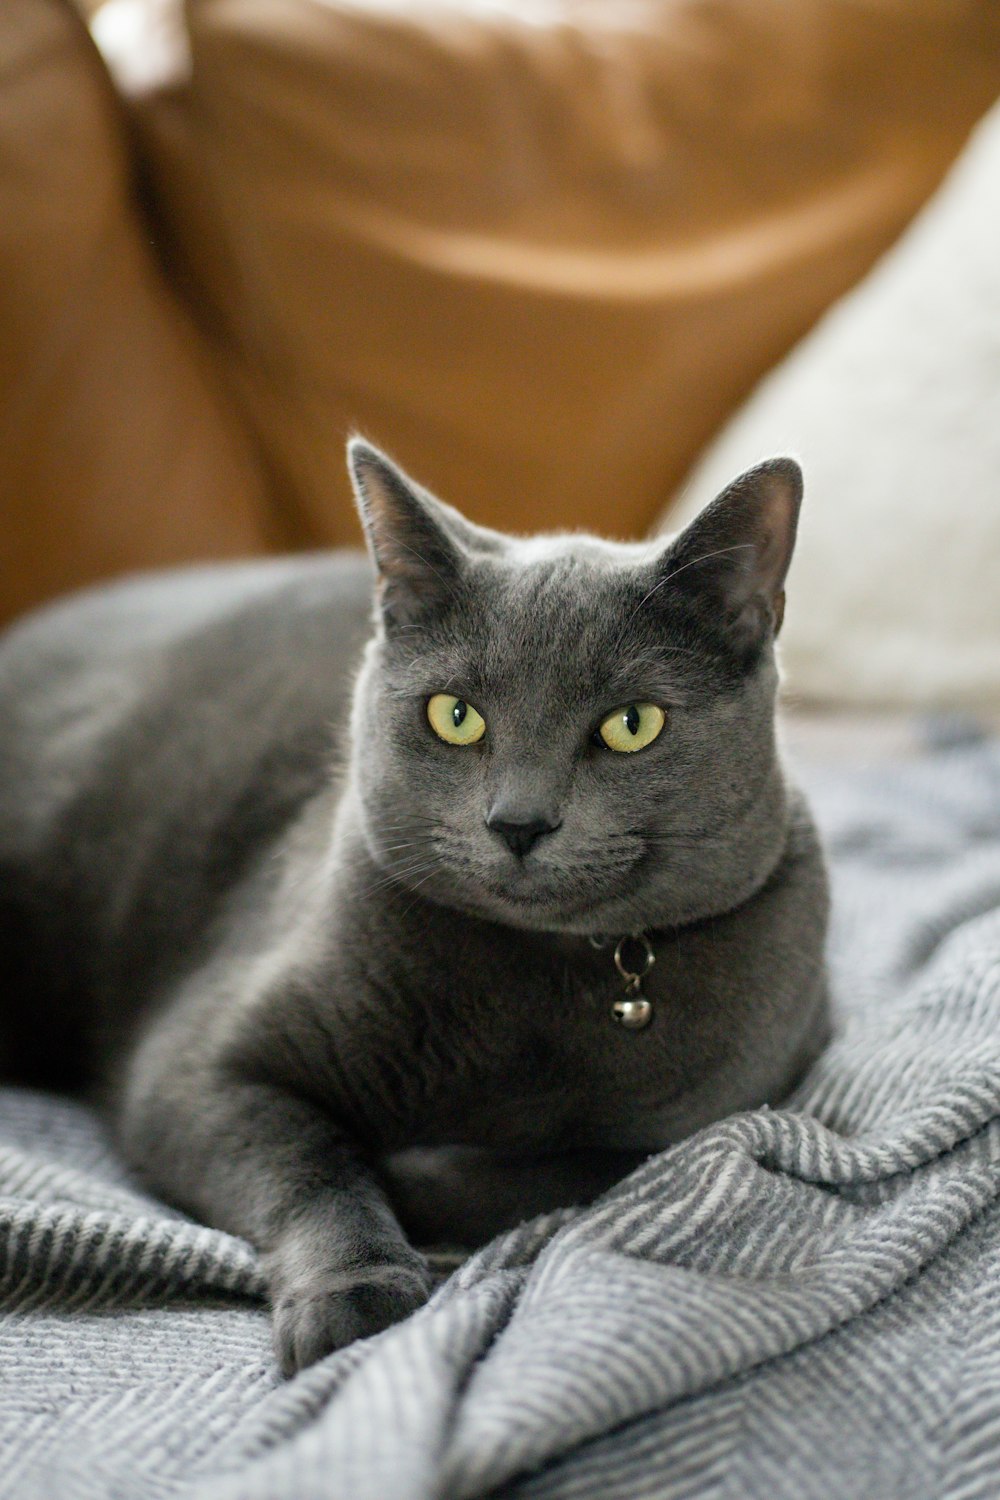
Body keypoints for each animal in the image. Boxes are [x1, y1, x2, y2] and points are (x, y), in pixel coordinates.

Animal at [0, 441, 827, 1374]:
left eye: (631, 725)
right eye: (455, 716)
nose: (519, 821)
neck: (535, 980)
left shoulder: (745, 1096)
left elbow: (590, 1164)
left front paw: (414, 1176)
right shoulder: (196, 1067)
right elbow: (311, 1160)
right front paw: (354, 1289)